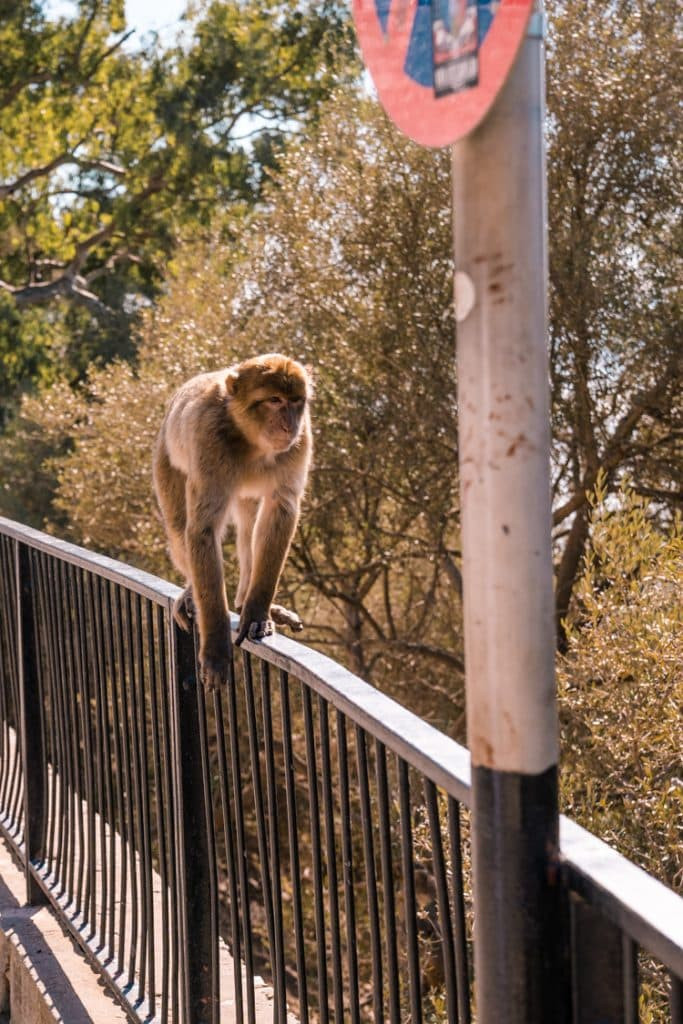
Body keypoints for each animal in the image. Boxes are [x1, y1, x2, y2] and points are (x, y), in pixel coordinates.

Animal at [152, 352, 313, 688]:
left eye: (295, 401)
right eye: (274, 400)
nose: (288, 425)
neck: (252, 439)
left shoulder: (300, 442)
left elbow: (281, 509)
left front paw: (257, 611)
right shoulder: (208, 441)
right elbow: (202, 530)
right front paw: (215, 643)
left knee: (250, 526)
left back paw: (243, 601)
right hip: (165, 460)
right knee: (179, 526)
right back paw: (192, 593)